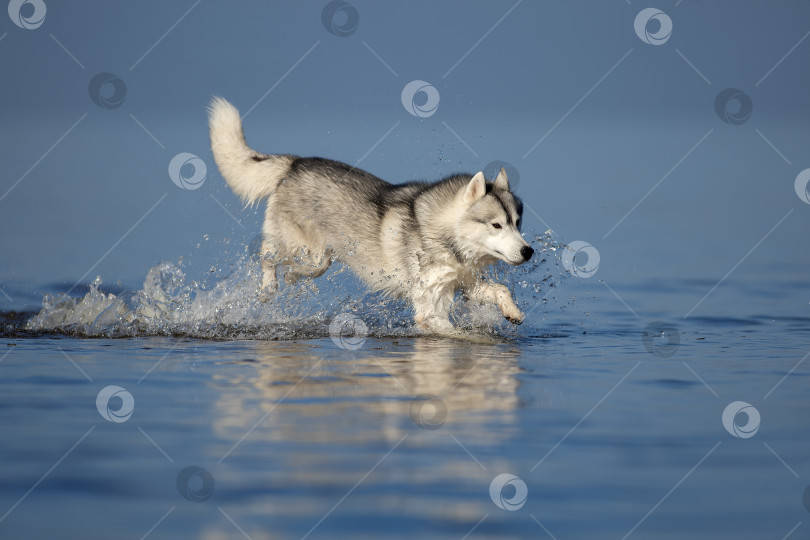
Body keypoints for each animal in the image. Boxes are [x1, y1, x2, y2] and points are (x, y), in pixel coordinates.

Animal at [210, 98, 532, 332]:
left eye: (517, 223)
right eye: (496, 225)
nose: (528, 252)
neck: (444, 237)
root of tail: (295, 162)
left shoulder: (464, 283)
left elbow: (499, 289)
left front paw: (512, 312)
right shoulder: (430, 305)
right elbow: (452, 331)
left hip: (322, 253)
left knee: (309, 266)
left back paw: (291, 276)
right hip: (300, 244)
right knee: (267, 253)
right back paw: (270, 286)